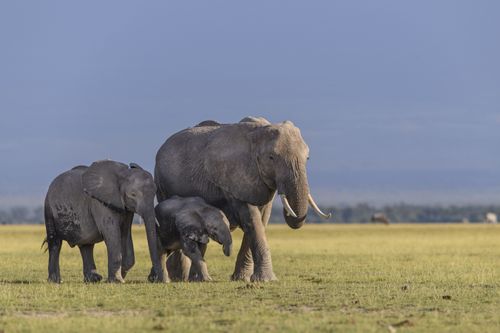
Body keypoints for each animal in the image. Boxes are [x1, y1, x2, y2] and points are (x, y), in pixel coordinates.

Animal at [154, 116, 330, 280]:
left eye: (307, 158)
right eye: (271, 157)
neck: (258, 132)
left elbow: (262, 219)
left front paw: (243, 279)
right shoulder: (233, 178)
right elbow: (251, 219)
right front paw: (266, 280)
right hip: (162, 184)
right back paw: (179, 278)